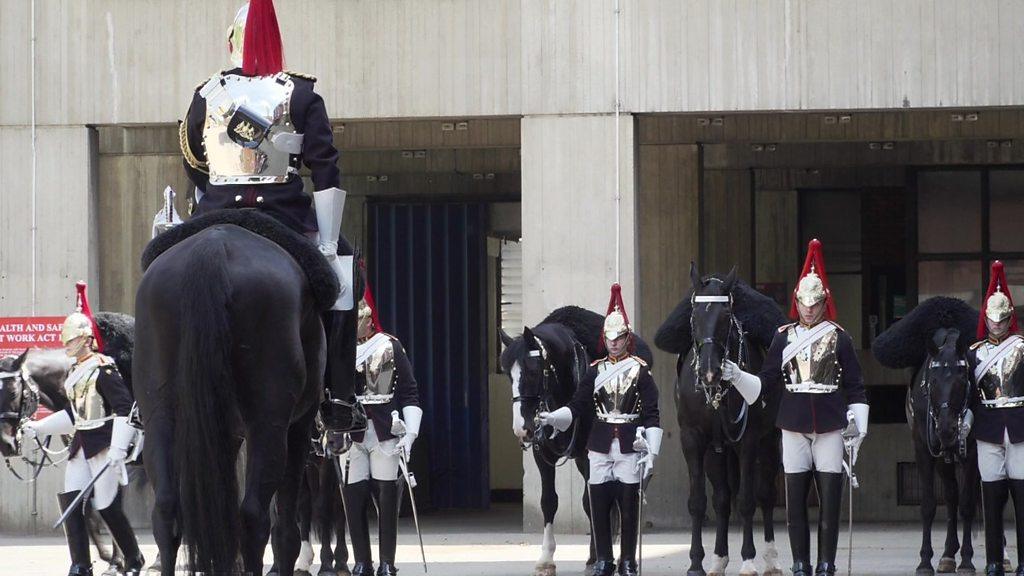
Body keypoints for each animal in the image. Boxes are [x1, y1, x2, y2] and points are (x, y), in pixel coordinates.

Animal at [136, 212, 348, 573]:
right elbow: (285, 529)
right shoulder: (299, 424)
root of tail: (212, 250)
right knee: (254, 517)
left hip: (160, 413)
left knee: (167, 509)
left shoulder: (225, 432)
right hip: (269, 422)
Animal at [497, 305, 655, 573]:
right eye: (508, 374)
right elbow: (549, 501)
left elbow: (593, 501)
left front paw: (600, 557)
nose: (522, 428)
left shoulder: (592, 454)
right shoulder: (543, 455)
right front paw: (546, 559)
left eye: (532, 371)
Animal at [655, 264, 782, 573]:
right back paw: (718, 559)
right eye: (694, 315)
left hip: (769, 442)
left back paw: (770, 558)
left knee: (765, 494)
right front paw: (695, 562)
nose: (710, 371)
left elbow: (747, 500)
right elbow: (699, 501)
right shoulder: (693, 439)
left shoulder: (748, 440)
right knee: (722, 498)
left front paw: (748, 560)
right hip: (717, 451)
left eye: (725, 316)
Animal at [876, 295, 978, 573]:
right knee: (951, 495)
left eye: (962, 381)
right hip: (942, 456)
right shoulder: (923, 448)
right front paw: (925, 560)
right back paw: (948, 554)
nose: (946, 428)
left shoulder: (972, 450)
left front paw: (967, 559)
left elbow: (968, 503)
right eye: (931, 380)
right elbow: (930, 504)